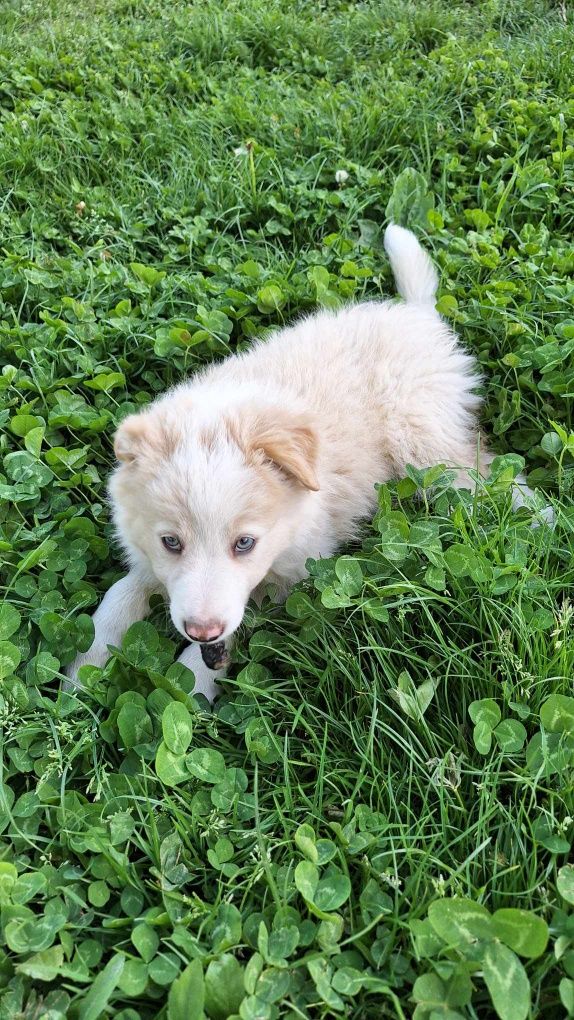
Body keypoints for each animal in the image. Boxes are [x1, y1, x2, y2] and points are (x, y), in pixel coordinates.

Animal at [67, 223, 511, 701]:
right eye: (171, 542)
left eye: (245, 543)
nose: (202, 632)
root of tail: (417, 315)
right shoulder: (149, 556)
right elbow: (120, 592)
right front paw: (82, 667)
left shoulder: (292, 569)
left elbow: (236, 626)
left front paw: (190, 685)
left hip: (425, 443)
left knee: (492, 476)